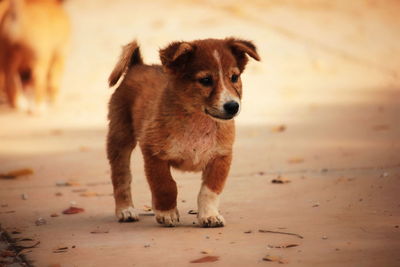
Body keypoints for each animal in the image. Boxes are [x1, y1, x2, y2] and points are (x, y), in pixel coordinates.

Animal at [108, 37, 260, 228]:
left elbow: (209, 190)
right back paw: (126, 210)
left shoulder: (221, 157)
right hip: (120, 139)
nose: (233, 106)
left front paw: (209, 215)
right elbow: (165, 185)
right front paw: (167, 213)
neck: (199, 121)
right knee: (121, 178)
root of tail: (138, 64)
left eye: (234, 77)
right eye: (205, 80)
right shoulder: (153, 153)